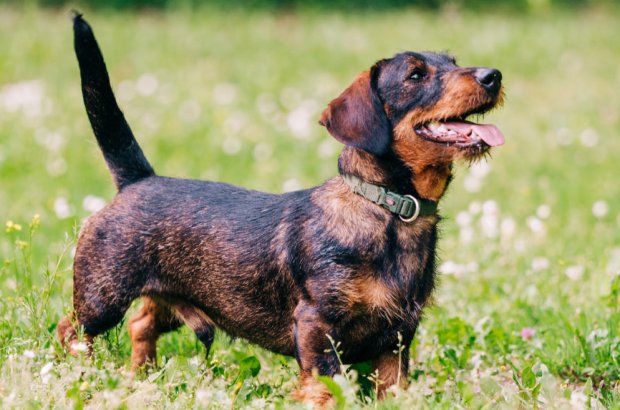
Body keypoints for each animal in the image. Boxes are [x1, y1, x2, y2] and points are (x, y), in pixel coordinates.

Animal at [58, 12, 504, 406]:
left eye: (453, 63)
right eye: (415, 76)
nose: (493, 76)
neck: (387, 211)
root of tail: (139, 179)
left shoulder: (397, 341)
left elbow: (393, 390)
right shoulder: (317, 325)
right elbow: (324, 385)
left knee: (141, 324)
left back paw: (141, 376)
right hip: (101, 299)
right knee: (70, 330)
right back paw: (79, 373)